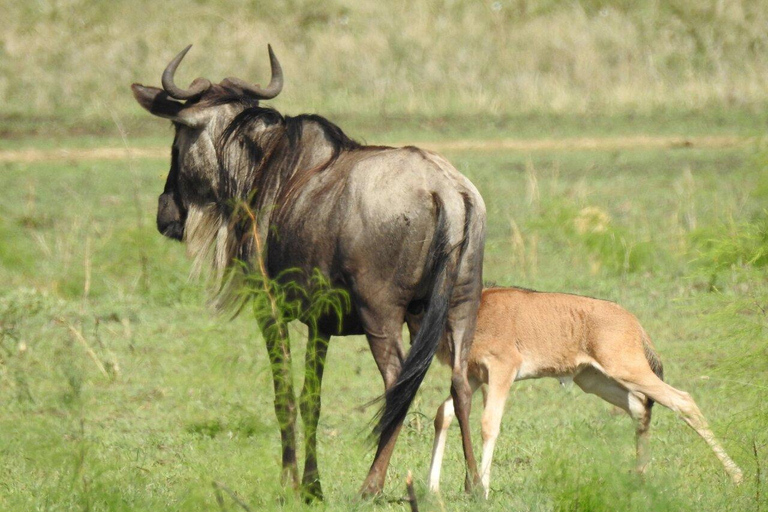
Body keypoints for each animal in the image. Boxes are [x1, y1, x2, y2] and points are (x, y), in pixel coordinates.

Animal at [426, 288, 744, 496]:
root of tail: (631, 320)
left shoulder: (502, 370)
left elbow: (489, 423)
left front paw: (483, 490)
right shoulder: (472, 377)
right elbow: (443, 414)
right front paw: (432, 489)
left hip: (627, 369)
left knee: (682, 400)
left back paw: (737, 475)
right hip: (594, 380)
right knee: (640, 406)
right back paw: (639, 479)